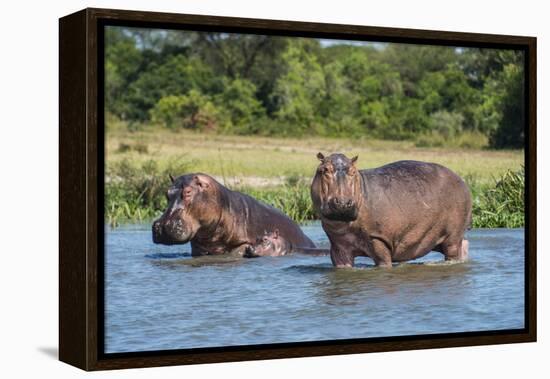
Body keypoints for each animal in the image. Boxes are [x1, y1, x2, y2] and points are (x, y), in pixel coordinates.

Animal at [312, 153, 472, 268]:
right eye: (324, 170)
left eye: (353, 171)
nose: (343, 203)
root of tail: (460, 179)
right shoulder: (339, 247)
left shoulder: (378, 239)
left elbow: (383, 261)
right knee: (464, 246)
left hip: (452, 236)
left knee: (453, 251)